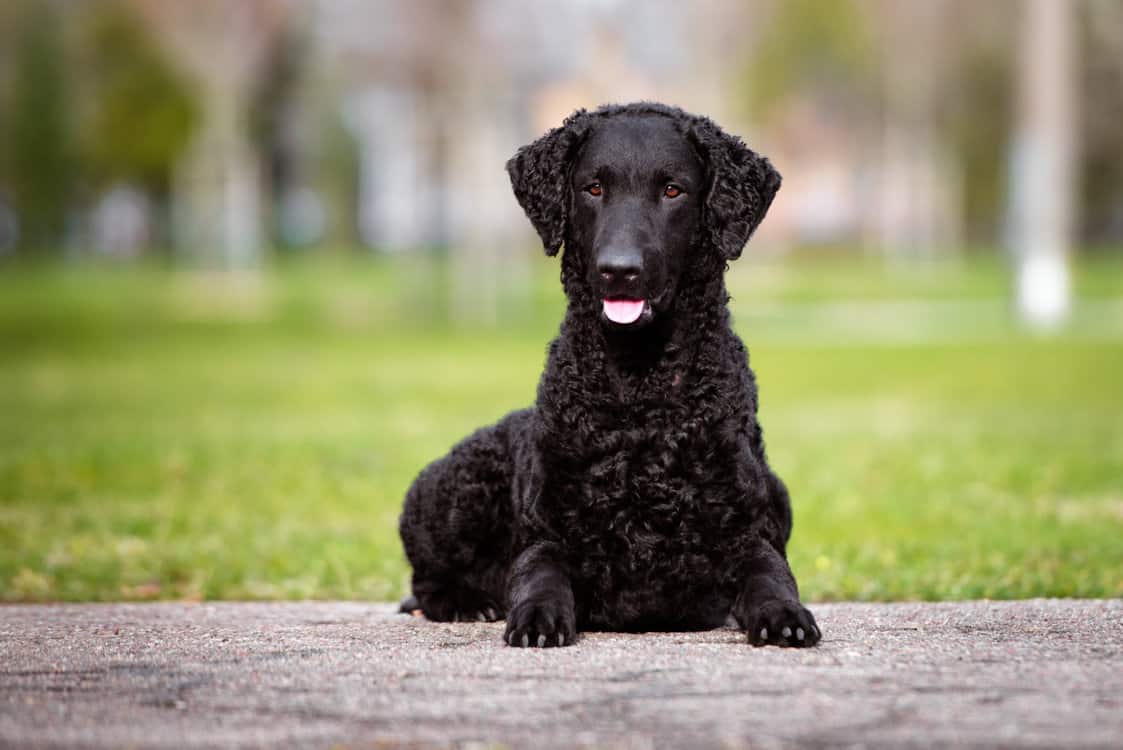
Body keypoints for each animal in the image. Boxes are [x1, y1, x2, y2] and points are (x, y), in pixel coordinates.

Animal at [399, 102, 822, 646]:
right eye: (593, 188)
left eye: (672, 190)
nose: (619, 270)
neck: (641, 392)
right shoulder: (547, 535)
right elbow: (539, 574)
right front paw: (536, 617)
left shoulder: (746, 533)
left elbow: (771, 574)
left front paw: (784, 615)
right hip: (455, 489)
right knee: (425, 581)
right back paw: (468, 603)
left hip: (779, 492)